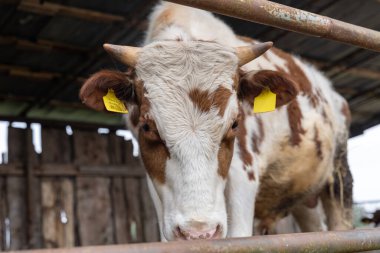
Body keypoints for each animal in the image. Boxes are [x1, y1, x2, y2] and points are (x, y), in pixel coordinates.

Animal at [79, 1, 354, 241]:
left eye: (235, 124)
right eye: (146, 127)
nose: (199, 233)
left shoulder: (244, 176)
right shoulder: (155, 188)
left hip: (339, 180)